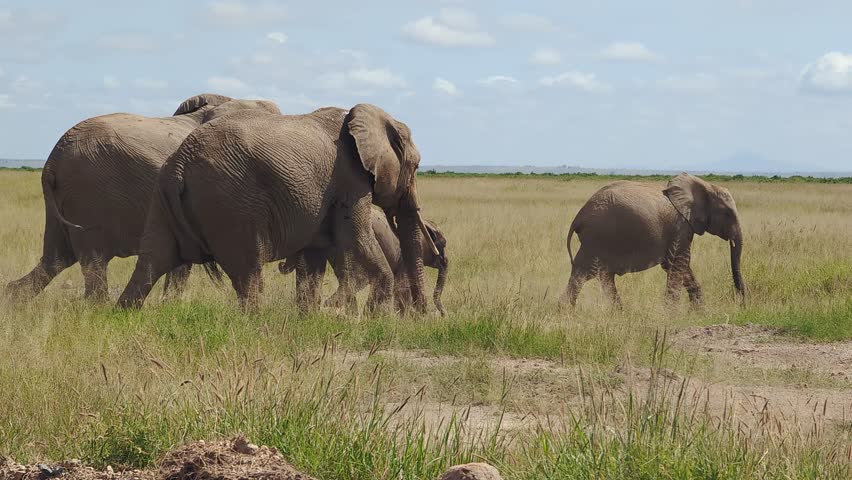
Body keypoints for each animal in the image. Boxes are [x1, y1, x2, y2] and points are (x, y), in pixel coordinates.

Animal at [4, 94, 280, 302]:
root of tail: (53, 160)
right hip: (89, 195)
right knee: (91, 261)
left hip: (64, 202)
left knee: (56, 260)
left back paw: (12, 299)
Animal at [277, 208, 449, 315]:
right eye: (444, 244)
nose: (443, 314)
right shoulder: (404, 259)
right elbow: (401, 286)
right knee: (357, 278)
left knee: (347, 277)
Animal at [559, 173, 745, 308]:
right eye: (728, 214)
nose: (741, 305)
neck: (705, 185)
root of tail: (579, 216)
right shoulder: (680, 227)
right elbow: (678, 264)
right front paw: (670, 315)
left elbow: (678, 266)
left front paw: (697, 312)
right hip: (597, 239)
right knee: (589, 275)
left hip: (594, 242)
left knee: (590, 275)